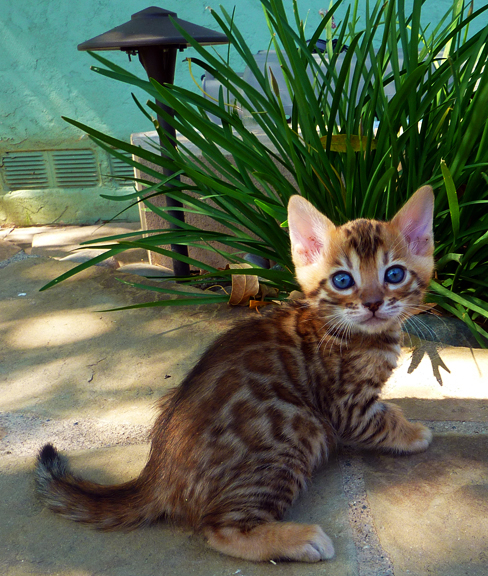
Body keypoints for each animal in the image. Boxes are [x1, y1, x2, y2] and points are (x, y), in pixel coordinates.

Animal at [36, 188, 436, 564]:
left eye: (394, 274)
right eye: (342, 280)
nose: (372, 303)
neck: (350, 331)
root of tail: (157, 474)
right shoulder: (346, 406)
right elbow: (380, 420)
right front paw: (413, 432)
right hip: (292, 435)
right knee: (219, 529)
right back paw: (298, 538)